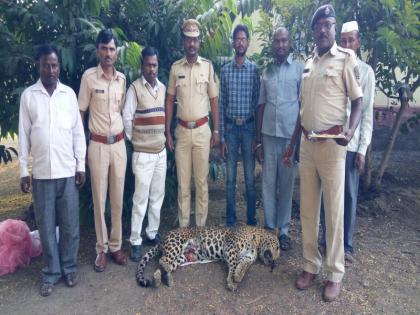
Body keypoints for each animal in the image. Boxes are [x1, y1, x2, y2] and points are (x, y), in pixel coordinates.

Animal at [135, 226, 278, 292]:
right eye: (277, 246)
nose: (276, 261)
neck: (257, 242)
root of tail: (164, 238)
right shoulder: (231, 248)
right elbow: (233, 266)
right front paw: (231, 282)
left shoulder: (247, 257)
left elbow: (243, 267)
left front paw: (238, 276)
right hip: (176, 244)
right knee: (163, 261)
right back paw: (167, 278)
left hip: (181, 256)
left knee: (164, 265)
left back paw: (161, 279)